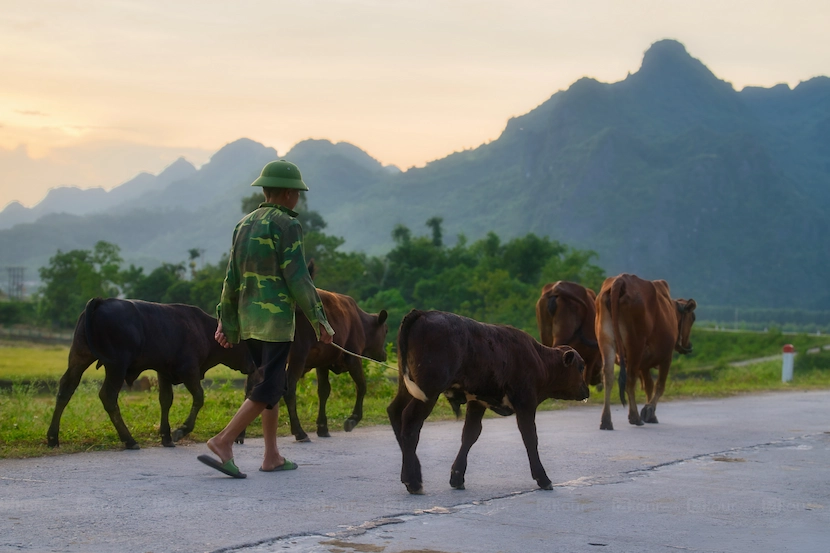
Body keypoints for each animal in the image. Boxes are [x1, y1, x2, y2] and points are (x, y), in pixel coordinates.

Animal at [48, 298, 256, 448]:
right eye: (246, 342)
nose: (254, 365)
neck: (203, 330)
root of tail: (100, 301)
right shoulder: (190, 371)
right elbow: (199, 397)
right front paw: (180, 431)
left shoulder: (163, 372)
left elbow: (165, 400)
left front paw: (166, 436)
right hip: (116, 366)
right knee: (108, 396)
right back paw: (129, 440)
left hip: (79, 358)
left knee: (66, 389)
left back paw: (52, 438)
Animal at [390, 308, 592, 494]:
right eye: (581, 366)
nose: (586, 390)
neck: (538, 359)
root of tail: (424, 312)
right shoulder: (525, 402)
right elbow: (530, 437)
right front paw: (543, 478)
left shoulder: (477, 402)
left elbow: (470, 434)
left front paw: (457, 477)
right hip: (429, 390)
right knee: (410, 422)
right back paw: (413, 481)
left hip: (407, 386)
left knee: (395, 412)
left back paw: (414, 473)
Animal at [596, 274, 700, 430]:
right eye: (692, 318)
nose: (688, 345)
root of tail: (621, 280)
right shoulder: (666, 358)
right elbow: (659, 386)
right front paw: (649, 410)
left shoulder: (644, 363)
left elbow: (649, 386)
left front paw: (650, 411)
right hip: (635, 344)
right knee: (630, 379)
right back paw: (635, 417)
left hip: (606, 341)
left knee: (608, 376)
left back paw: (606, 420)